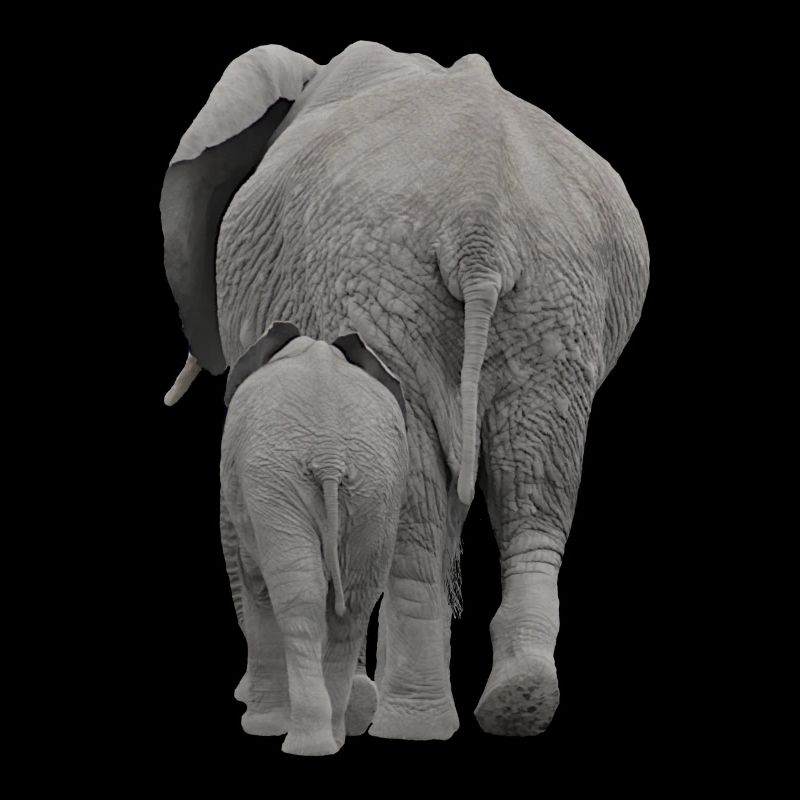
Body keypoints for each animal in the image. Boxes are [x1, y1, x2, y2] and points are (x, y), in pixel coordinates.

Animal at [218, 321, 409, 754]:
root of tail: (329, 455)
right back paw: (333, 737)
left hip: (275, 483)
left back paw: (305, 743)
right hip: (378, 485)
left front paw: (261, 726)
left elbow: (256, 584)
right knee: (353, 604)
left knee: (298, 599)